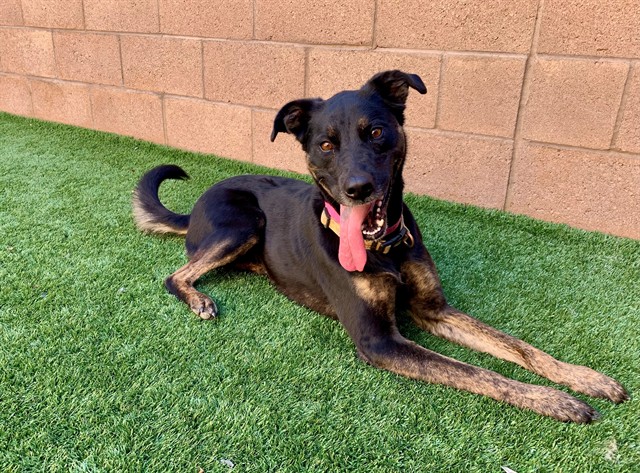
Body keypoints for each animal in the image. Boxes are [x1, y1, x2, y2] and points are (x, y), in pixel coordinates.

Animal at [133, 70, 627, 422]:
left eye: (375, 133)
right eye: (326, 145)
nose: (357, 189)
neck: (384, 248)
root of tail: (197, 205)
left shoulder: (434, 310)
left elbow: (518, 347)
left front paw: (583, 378)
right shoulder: (379, 341)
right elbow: (478, 371)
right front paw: (554, 400)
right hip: (244, 223)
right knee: (174, 275)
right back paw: (198, 298)